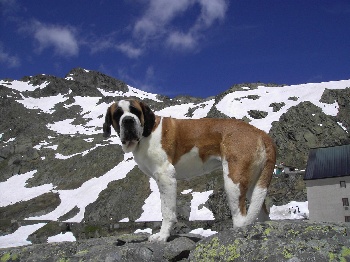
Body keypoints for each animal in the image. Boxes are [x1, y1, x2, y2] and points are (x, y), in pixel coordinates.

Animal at [102, 99, 278, 242]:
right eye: (117, 114)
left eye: (136, 111)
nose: (128, 120)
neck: (147, 132)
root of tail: (260, 132)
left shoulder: (166, 177)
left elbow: (167, 211)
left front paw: (162, 236)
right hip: (253, 183)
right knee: (262, 211)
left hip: (233, 182)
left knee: (241, 219)